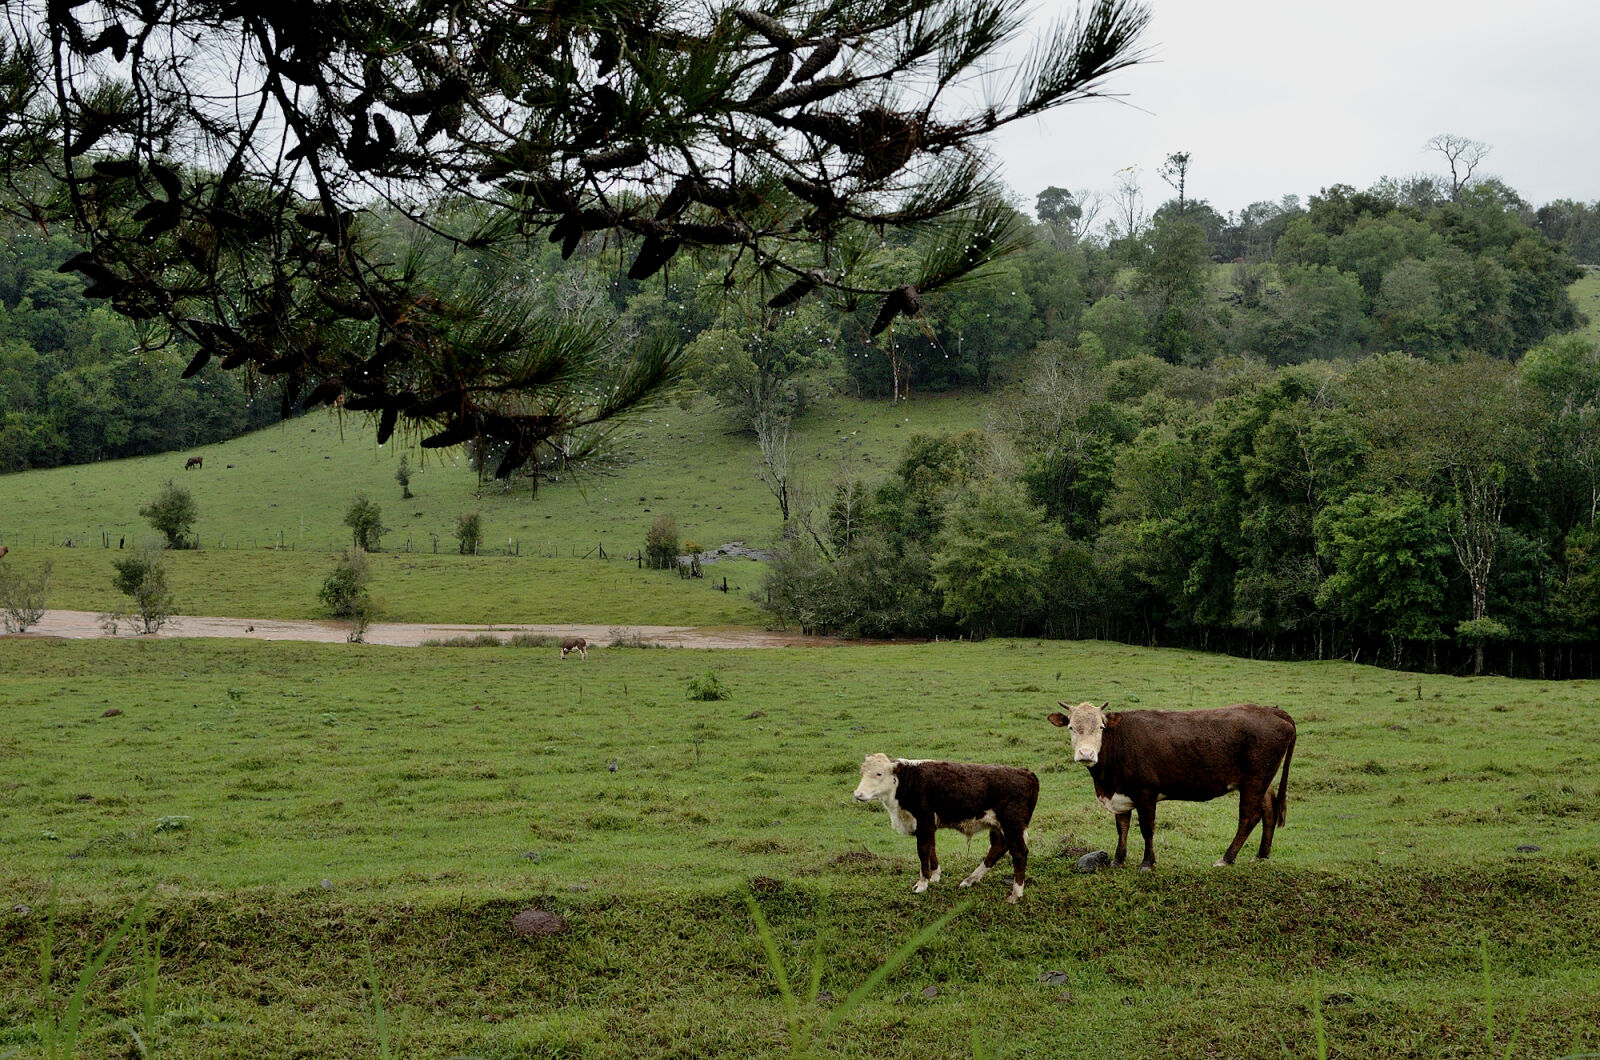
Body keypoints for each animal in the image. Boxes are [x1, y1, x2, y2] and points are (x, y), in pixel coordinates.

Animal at [857, 755, 1043, 903]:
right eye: (862, 773)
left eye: (879, 773)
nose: (858, 794)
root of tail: (1025, 772)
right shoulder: (928, 826)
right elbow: (931, 848)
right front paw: (935, 876)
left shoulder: (924, 821)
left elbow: (923, 851)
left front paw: (922, 884)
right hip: (998, 826)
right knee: (998, 848)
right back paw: (970, 880)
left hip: (1012, 824)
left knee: (1019, 853)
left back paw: (1015, 894)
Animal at [1049, 698, 1299, 871]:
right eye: (1071, 727)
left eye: (1101, 727)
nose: (1086, 753)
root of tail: (1271, 710)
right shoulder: (1121, 795)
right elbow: (1122, 828)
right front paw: (1118, 860)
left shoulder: (1146, 793)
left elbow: (1146, 828)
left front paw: (1147, 863)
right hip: (1262, 781)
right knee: (1269, 809)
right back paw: (1262, 854)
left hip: (1254, 780)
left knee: (1249, 817)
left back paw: (1227, 858)